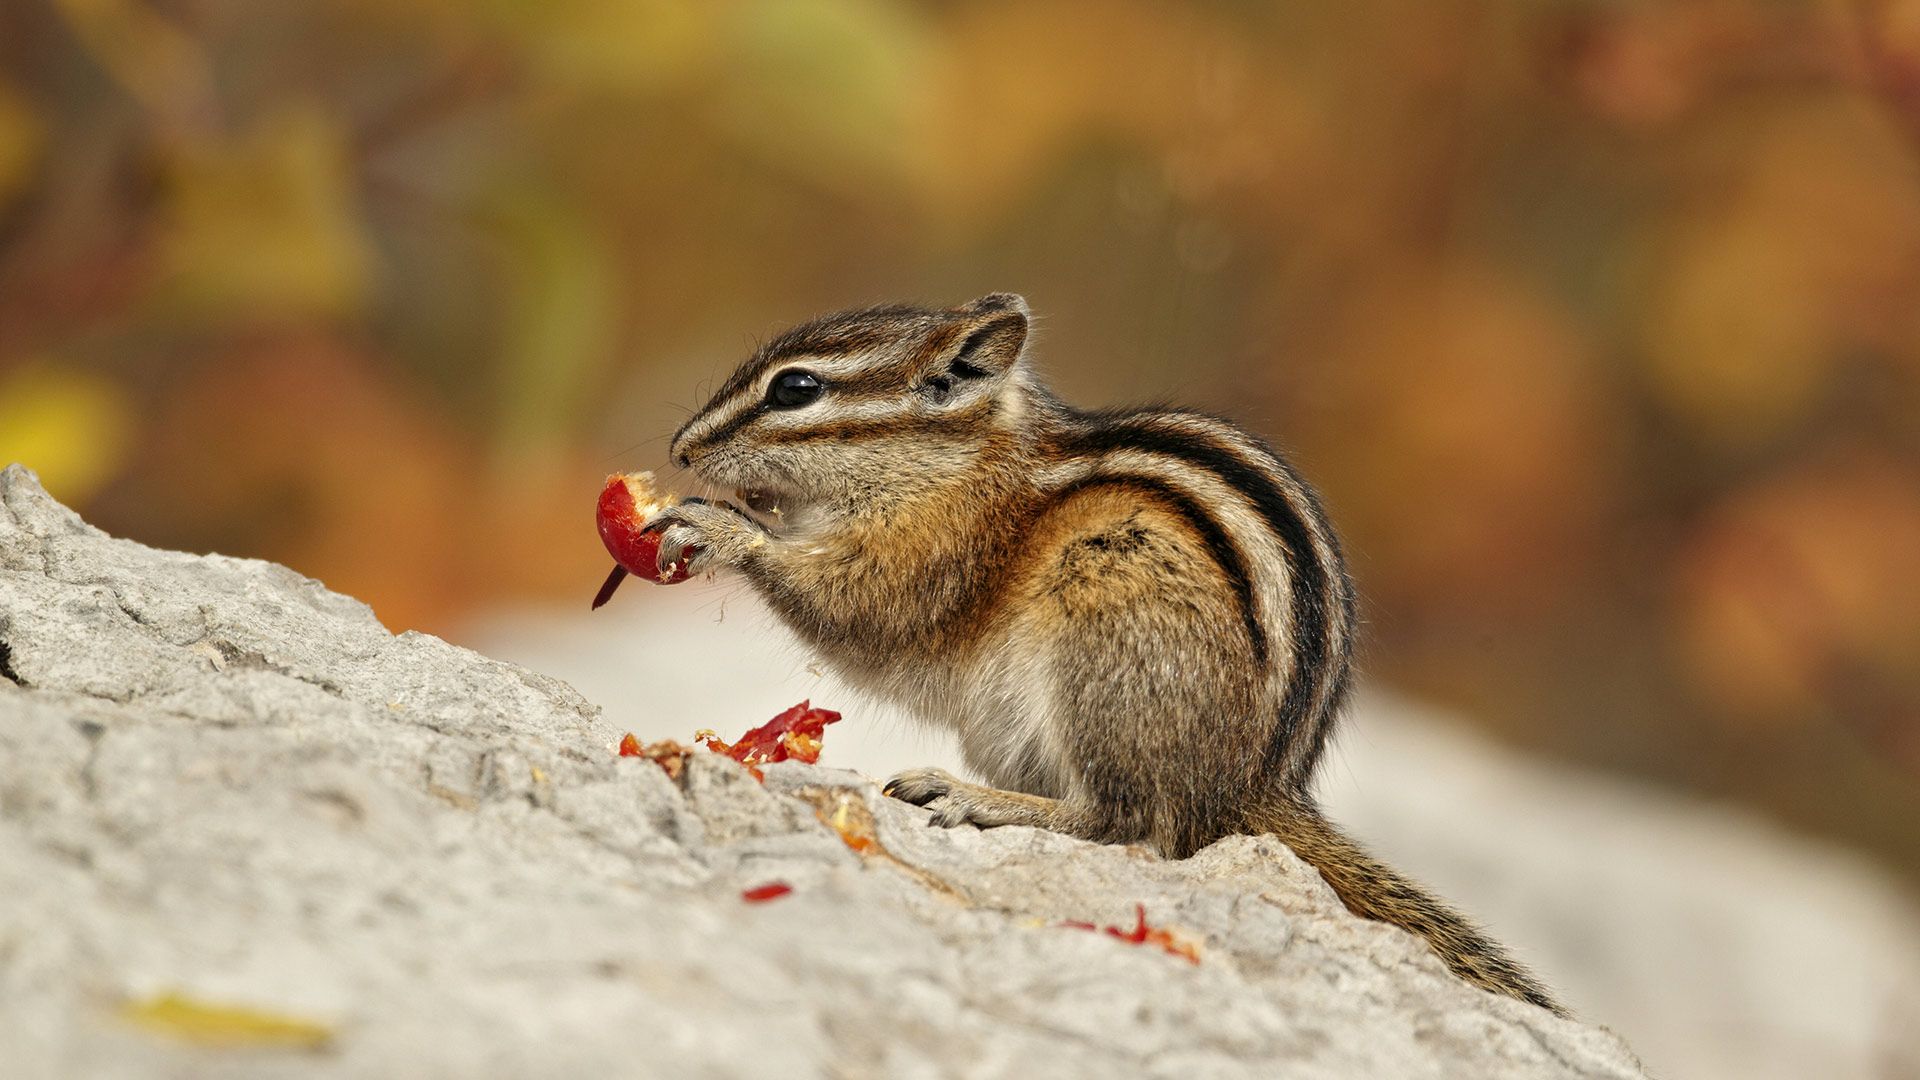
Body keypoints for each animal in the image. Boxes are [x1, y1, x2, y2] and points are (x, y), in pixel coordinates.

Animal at [644, 293, 1563, 1014]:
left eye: (795, 388)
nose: (681, 448)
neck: (959, 462)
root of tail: (1249, 788)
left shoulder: (934, 554)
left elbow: (857, 607)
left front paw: (722, 528)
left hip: (1108, 631)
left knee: (1125, 821)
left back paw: (974, 799)